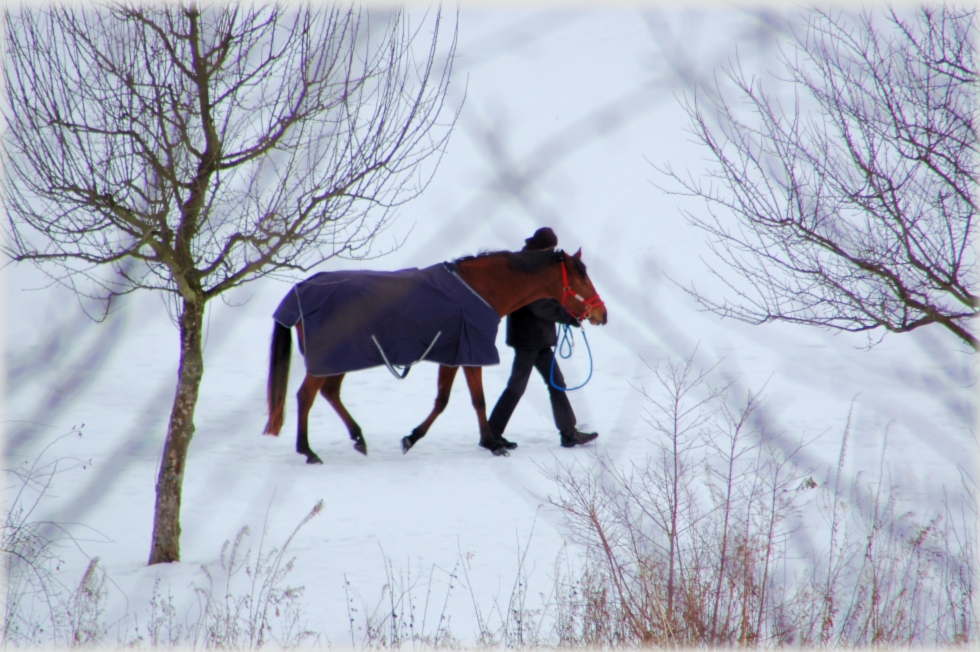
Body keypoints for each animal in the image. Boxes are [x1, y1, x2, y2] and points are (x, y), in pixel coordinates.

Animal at [264, 247, 608, 460]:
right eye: (582, 278)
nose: (602, 314)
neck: (480, 290)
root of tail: (300, 290)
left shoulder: (454, 355)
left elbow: (444, 401)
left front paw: (413, 437)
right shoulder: (470, 353)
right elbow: (478, 400)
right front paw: (493, 444)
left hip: (338, 361)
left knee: (330, 393)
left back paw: (358, 439)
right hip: (327, 361)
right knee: (306, 397)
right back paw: (308, 451)